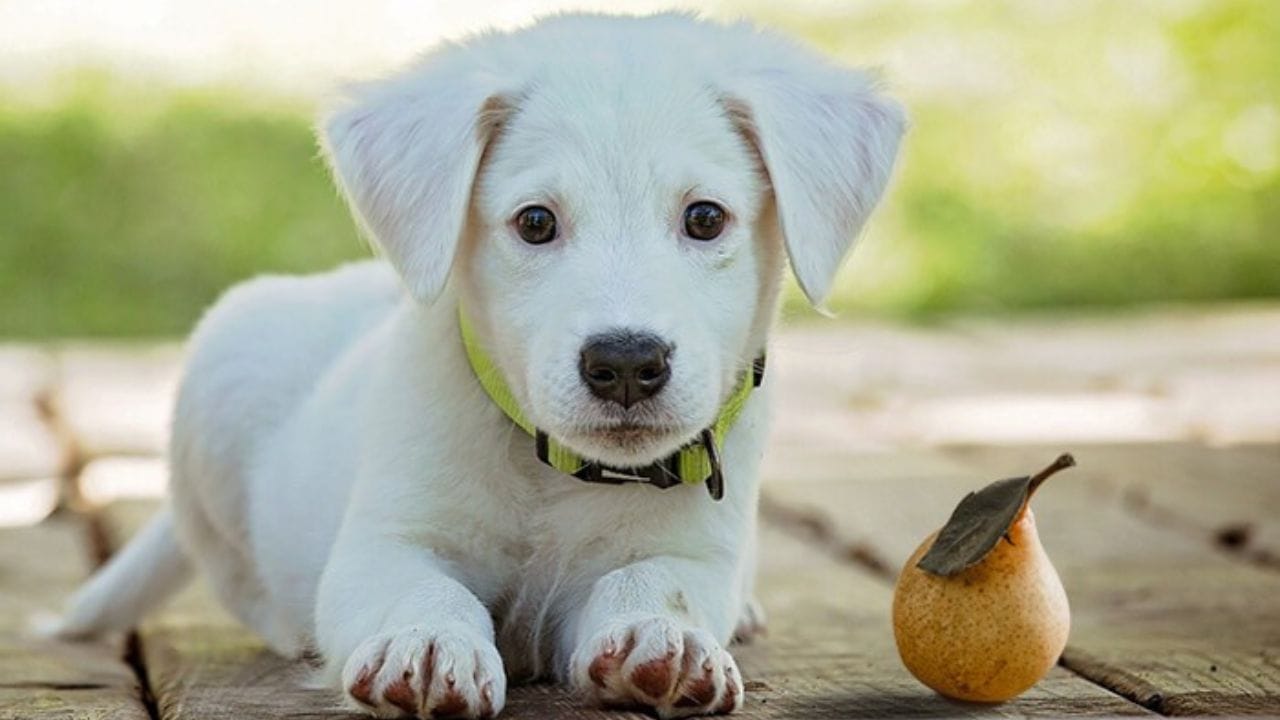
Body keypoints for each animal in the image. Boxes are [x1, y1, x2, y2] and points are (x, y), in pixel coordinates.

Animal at [55, 12, 906, 717]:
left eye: (705, 218)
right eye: (534, 223)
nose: (626, 363)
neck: (554, 472)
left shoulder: (692, 552)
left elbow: (654, 582)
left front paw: (661, 638)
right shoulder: (385, 542)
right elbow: (423, 590)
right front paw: (428, 644)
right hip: (220, 380)